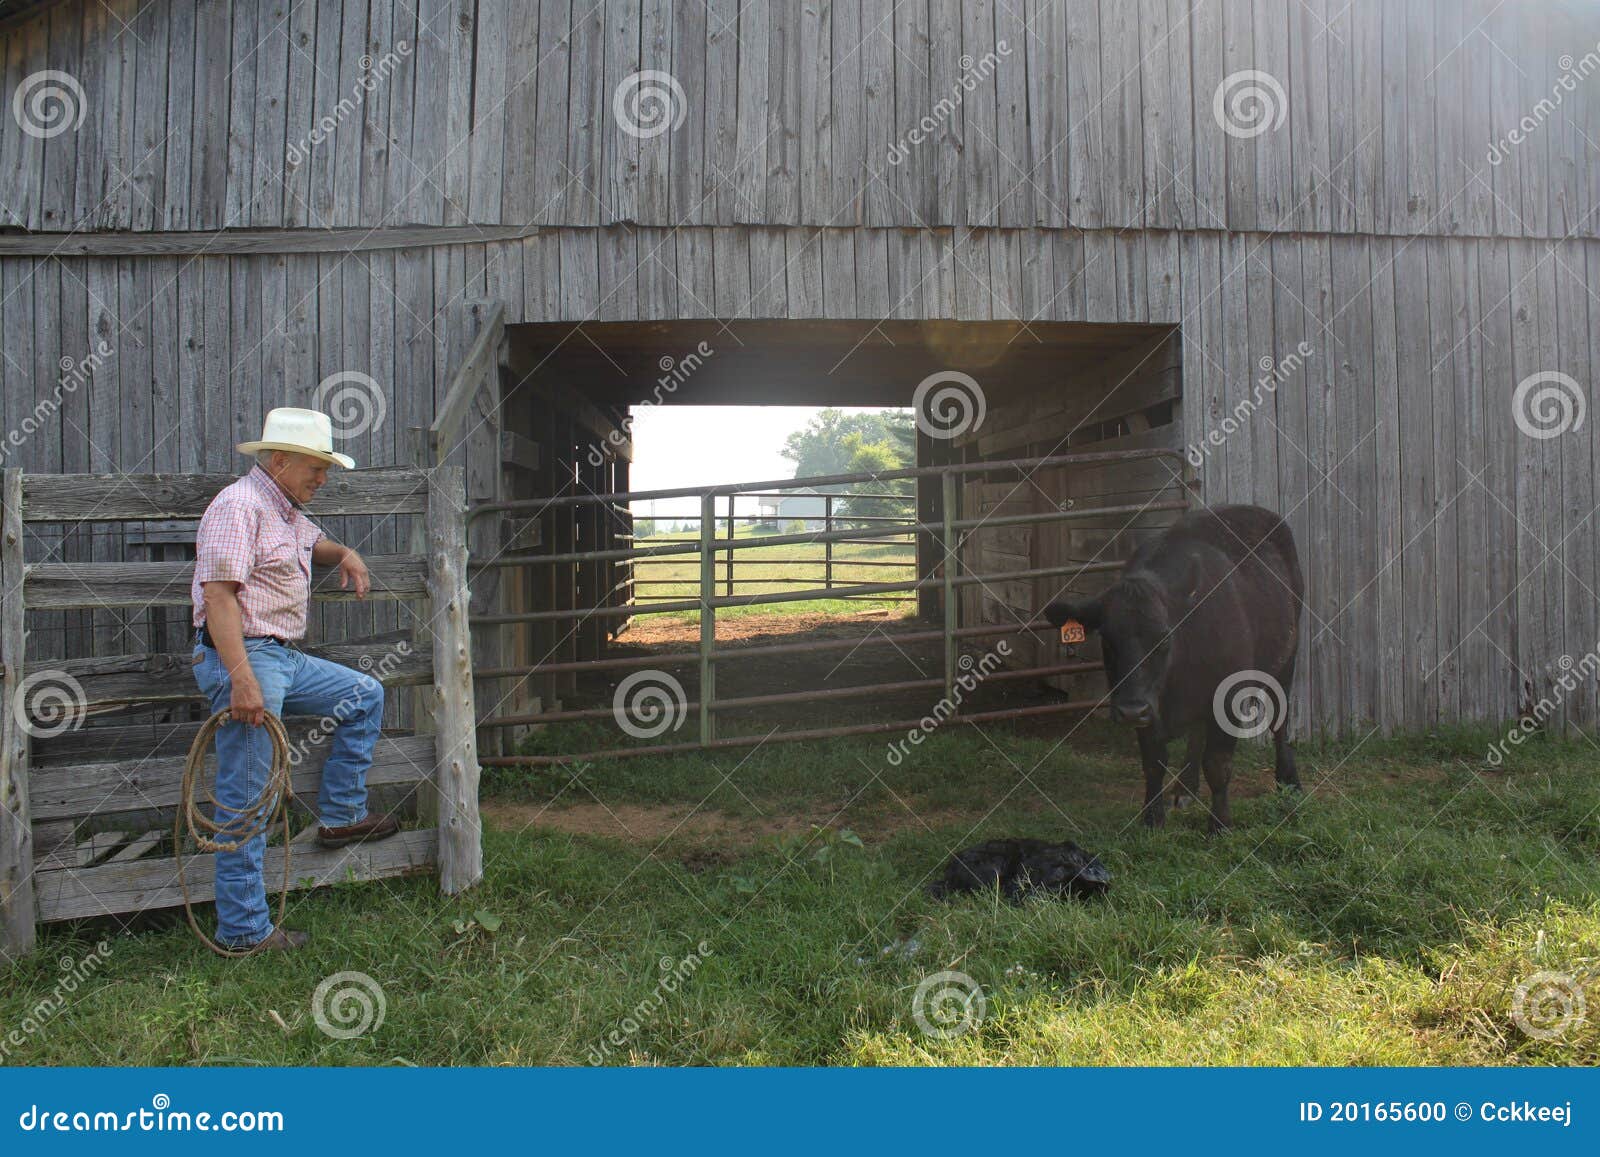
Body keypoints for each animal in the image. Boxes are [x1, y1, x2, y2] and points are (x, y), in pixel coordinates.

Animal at [1043, 505, 1305, 832]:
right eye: (1107, 640)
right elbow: (1154, 762)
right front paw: (1152, 818)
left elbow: (1218, 765)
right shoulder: (1151, 708)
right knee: (1197, 733)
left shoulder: (1227, 696)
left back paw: (1289, 782)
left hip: (1286, 659)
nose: (1131, 711)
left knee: (1280, 722)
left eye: (1164, 637)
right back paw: (1185, 787)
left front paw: (1220, 825)